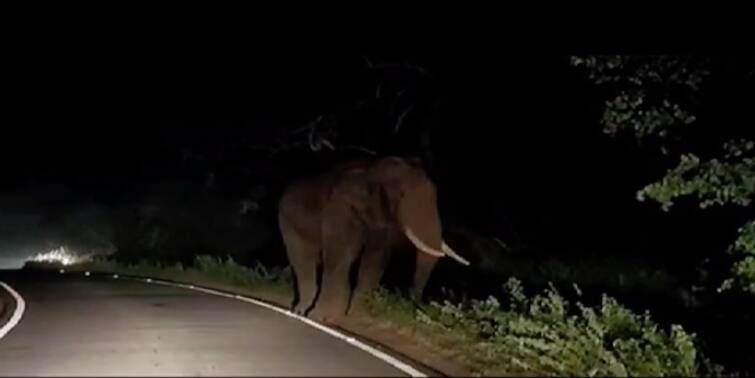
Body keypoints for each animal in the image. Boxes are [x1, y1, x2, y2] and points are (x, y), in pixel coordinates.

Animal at [278, 156, 466, 322]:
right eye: (401, 194)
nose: (414, 304)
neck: (373, 169)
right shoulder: (340, 211)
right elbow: (341, 256)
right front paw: (322, 316)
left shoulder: (382, 224)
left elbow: (374, 261)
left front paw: (354, 315)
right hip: (288, 223)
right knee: (302, 260)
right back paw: (301, 311)